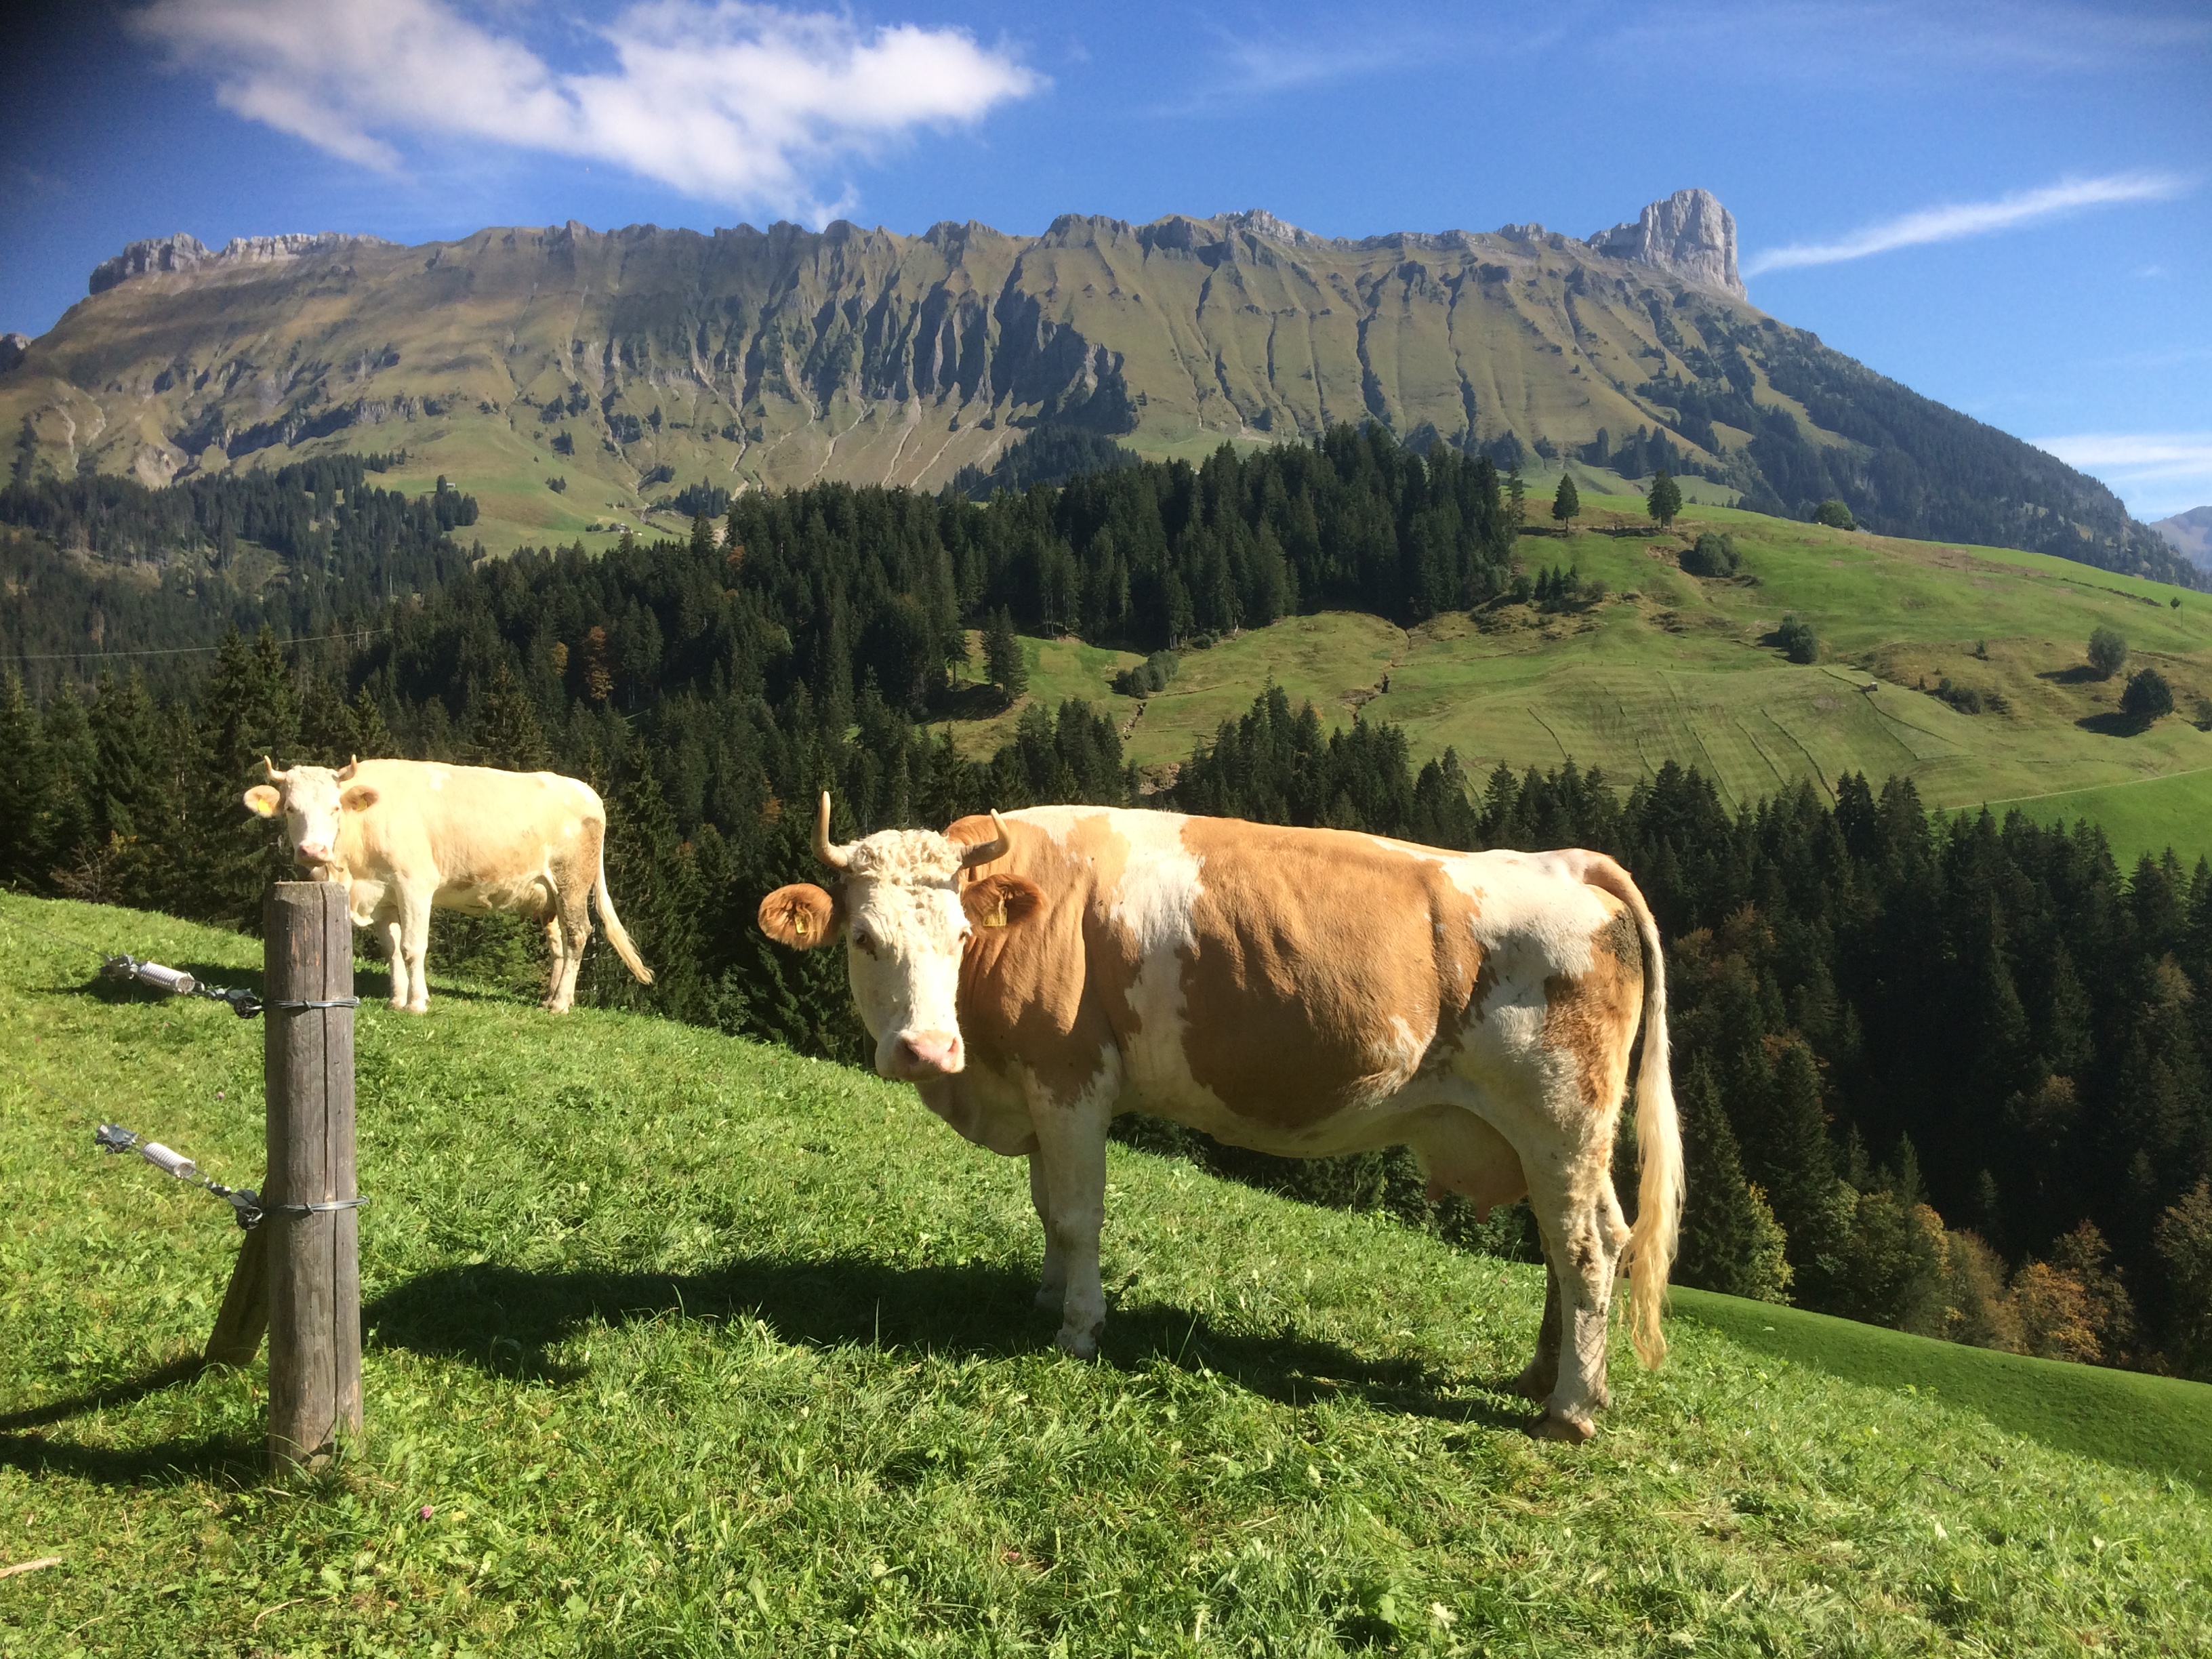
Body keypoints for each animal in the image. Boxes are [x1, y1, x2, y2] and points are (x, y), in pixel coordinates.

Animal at [760, 800, 1672, 1442]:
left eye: (958, 932)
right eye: (863, 938)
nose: (925, 1048)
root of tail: (1568, 863)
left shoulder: (1071, 1080)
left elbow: (1078, 1213)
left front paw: (1079, 1327)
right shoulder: (1038, 1092)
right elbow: (1047, 1208)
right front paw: (1046, 1295)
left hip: (1560, 1119)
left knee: (1587, 1250)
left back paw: (1568, 1411)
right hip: (1555, 1139)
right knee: (1580, 1240)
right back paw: (1550, 1379)